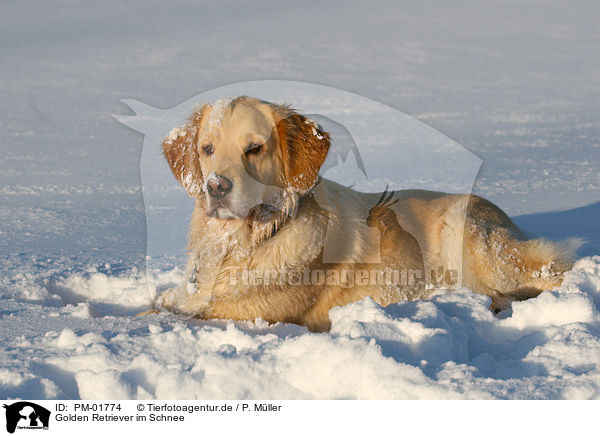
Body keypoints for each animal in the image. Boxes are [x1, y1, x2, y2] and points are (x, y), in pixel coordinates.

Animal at [156, 96, 580, 330]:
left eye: (255, 148)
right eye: (208, 149)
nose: (216, 187)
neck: (249, 239)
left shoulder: (247, 313)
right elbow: (163, 303)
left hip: (472, 239)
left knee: (549, 275)